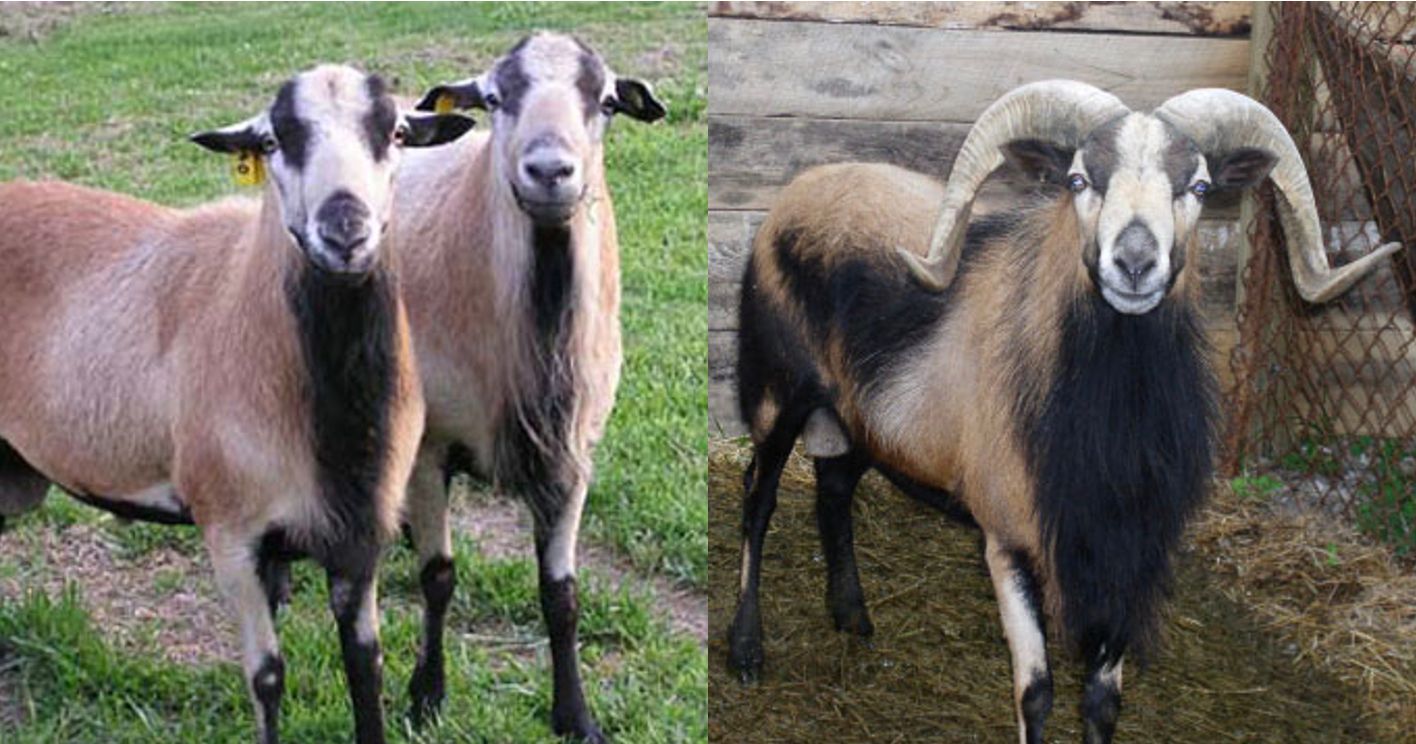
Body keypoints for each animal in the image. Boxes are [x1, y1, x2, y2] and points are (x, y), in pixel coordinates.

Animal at [0, 65, 478, 742]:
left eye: (399, 133)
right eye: (273, 140)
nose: (345, 231)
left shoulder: (361, 532)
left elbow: (366, 665)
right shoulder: (230, 535)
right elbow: (267, 677)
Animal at [376, 31, 662, 736]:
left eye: (607, 101)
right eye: (494, 98)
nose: (550, 171)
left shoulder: (572, 453)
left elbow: (561, 595)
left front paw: (576, 715)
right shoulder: (430, 447)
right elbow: (438, 577)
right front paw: (426, 696)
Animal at [730, 78, 1404, 736]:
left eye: (1199, 186)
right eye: (1079, 180)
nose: (1134, 263)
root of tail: (804, 186)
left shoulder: (1124, 552)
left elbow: (1103, 702)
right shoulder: (1010, 541)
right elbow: (1035, 694)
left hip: (859, 417)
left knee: (834, 490)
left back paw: (853, 618)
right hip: (776, 391)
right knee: (758, 501)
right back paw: (746, 651)